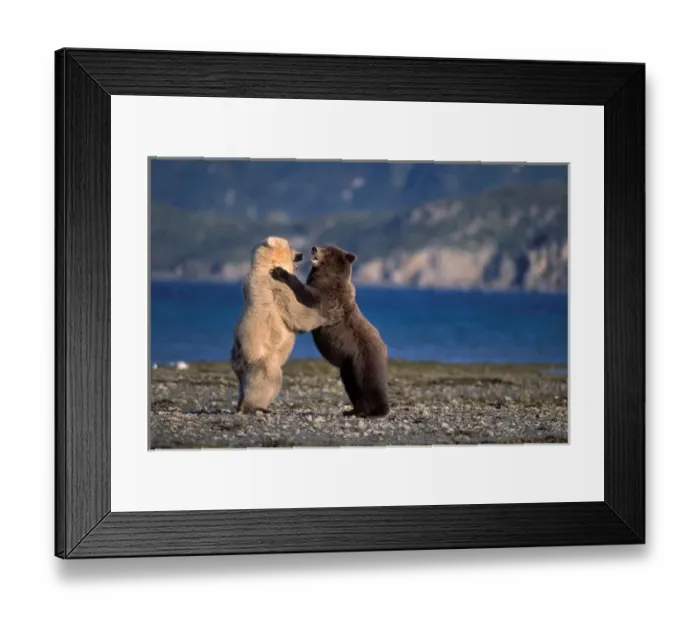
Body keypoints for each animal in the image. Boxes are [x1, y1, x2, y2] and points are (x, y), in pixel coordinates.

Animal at [231, 237, 342, 414]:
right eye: (290, 246)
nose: (301, 254)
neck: (266, 267)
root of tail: (237, 363)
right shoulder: (277, 287)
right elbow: (297, 313)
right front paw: (332, 314)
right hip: (262, 361)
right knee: (268, 380)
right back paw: (257, 407)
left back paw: (241, 404)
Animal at [271, 245, 390, 418]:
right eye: (323, 245)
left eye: (327, 250)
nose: (314, 248)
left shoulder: (326, 297)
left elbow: (306, 293)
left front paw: (280, 271)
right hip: (349, 367)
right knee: (353, 386)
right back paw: (352, 410)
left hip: (362, 360)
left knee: (367, 384)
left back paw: (372, 410)